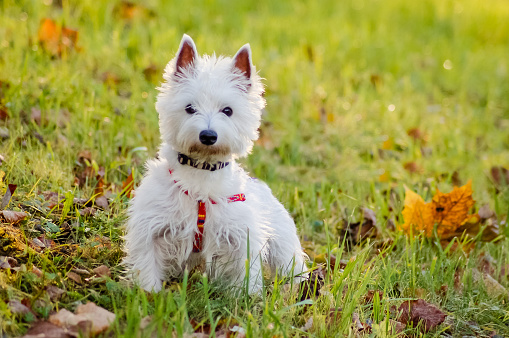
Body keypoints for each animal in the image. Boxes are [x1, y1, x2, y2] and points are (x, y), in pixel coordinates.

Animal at [124, 35, 306, 294]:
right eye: (189, 108)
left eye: (228, 110)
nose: (208, 136)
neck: (201, 173)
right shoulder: (152, 228)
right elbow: (147, 263)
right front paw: (149, 293)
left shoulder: (241, 237)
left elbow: (245, 272)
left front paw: (245, 297)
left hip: (284, 245)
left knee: (292, 268)